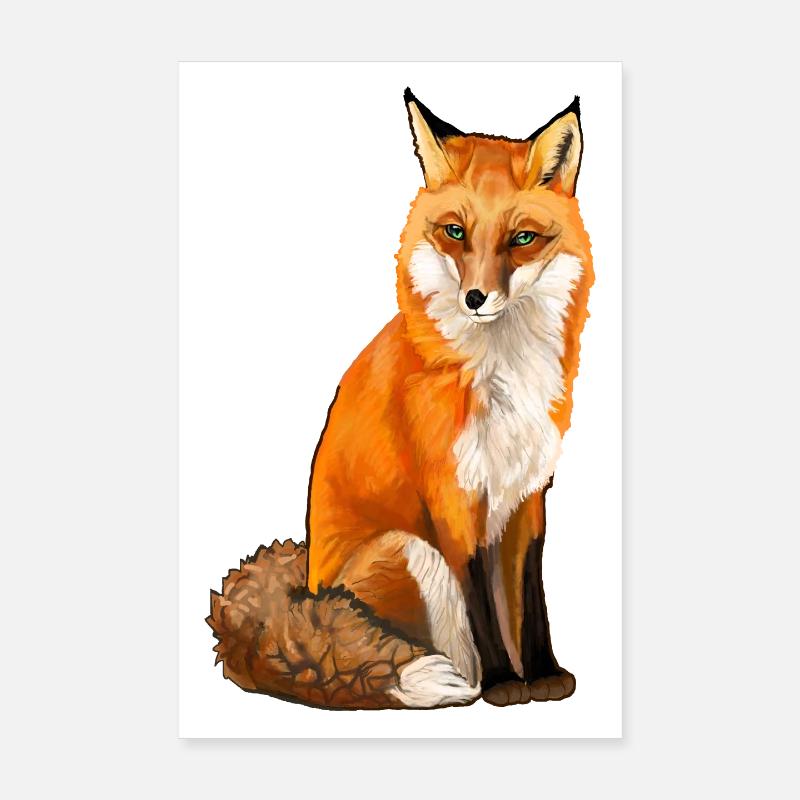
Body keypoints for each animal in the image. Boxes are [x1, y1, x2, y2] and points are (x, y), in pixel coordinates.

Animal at [209, 89, 593, 709]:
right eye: (455, 232)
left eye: (522, 239)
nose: (476, 297)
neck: (501, 374)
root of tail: (305, 589)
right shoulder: (452, 497)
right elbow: (482, 605)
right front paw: (506, 684)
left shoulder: (527, 493)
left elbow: (531, 598)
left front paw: (543, 673)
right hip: (410, 549)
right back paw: (463, 682)